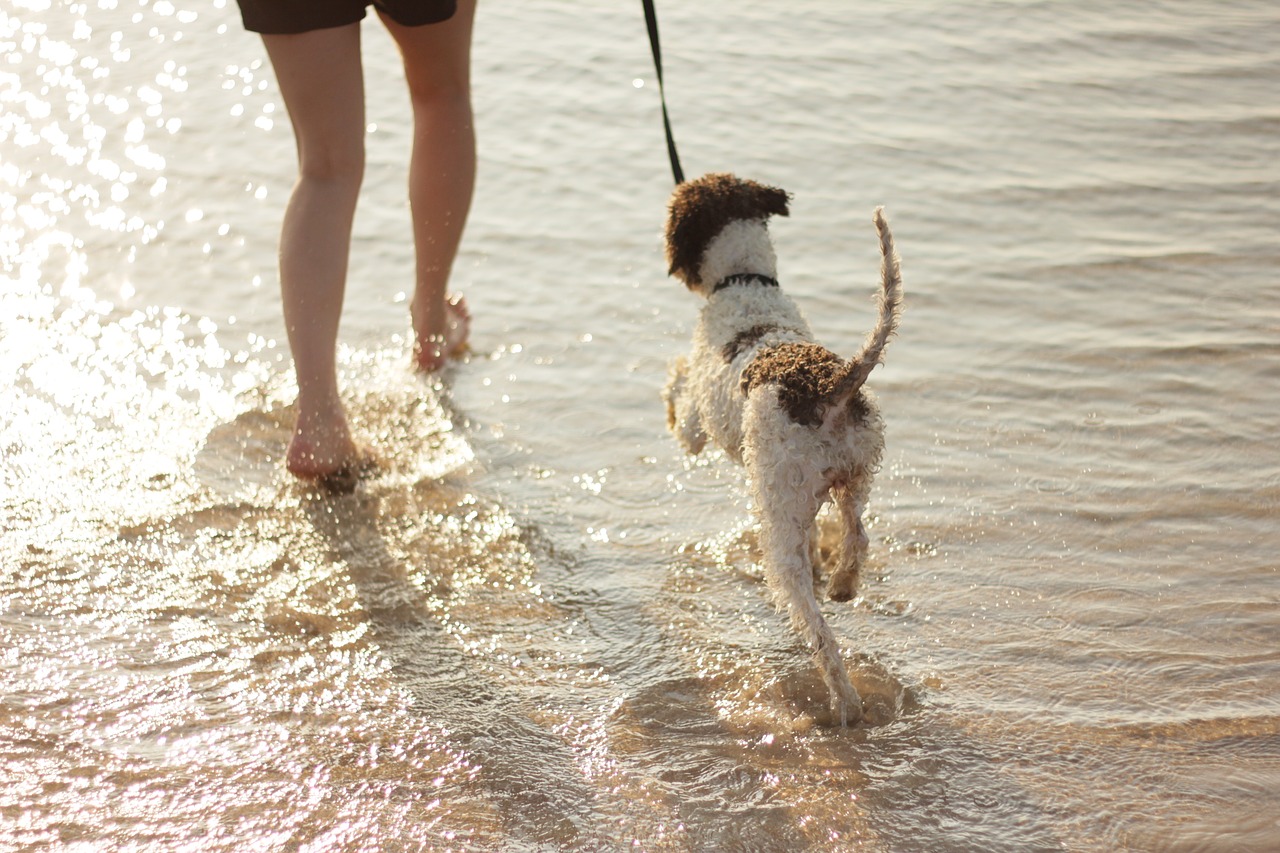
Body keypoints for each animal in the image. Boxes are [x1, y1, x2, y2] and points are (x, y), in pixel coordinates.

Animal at [660, 172, 901, 722]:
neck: (745, 281)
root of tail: (833, 386)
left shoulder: (699, 423)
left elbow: (681, 392)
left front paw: (668, 399)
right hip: (854, 474)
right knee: (858, 537)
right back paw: (842, 584)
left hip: (782, 513)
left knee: (818, 630)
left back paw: (845, 703)